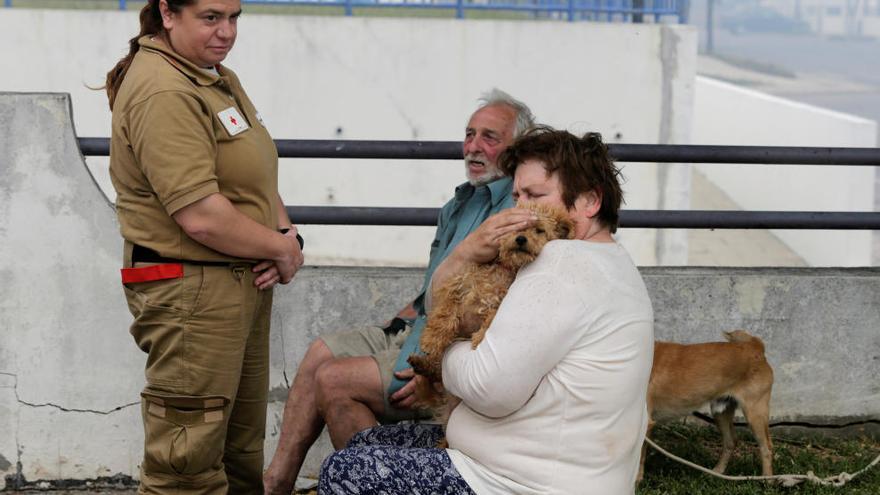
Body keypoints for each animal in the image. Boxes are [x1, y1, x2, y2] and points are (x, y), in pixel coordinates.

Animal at [410, 202, 576, 414]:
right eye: (513, 226)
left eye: (539, 230)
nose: (521, 238)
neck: (503, 269)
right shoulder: (458, 286)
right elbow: (444, 313)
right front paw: (432, 339)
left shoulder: (501, 303)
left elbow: (489, 320)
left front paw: (478, 339)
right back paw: (421, 364)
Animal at [640, 332, 776, 482]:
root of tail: (754, 346)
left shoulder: (644, 424)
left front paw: (637, 481)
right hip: (721, 412)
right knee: (731, 442)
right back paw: (717, 472)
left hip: (755, 413)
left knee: (767, 447)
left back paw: (768, 480)